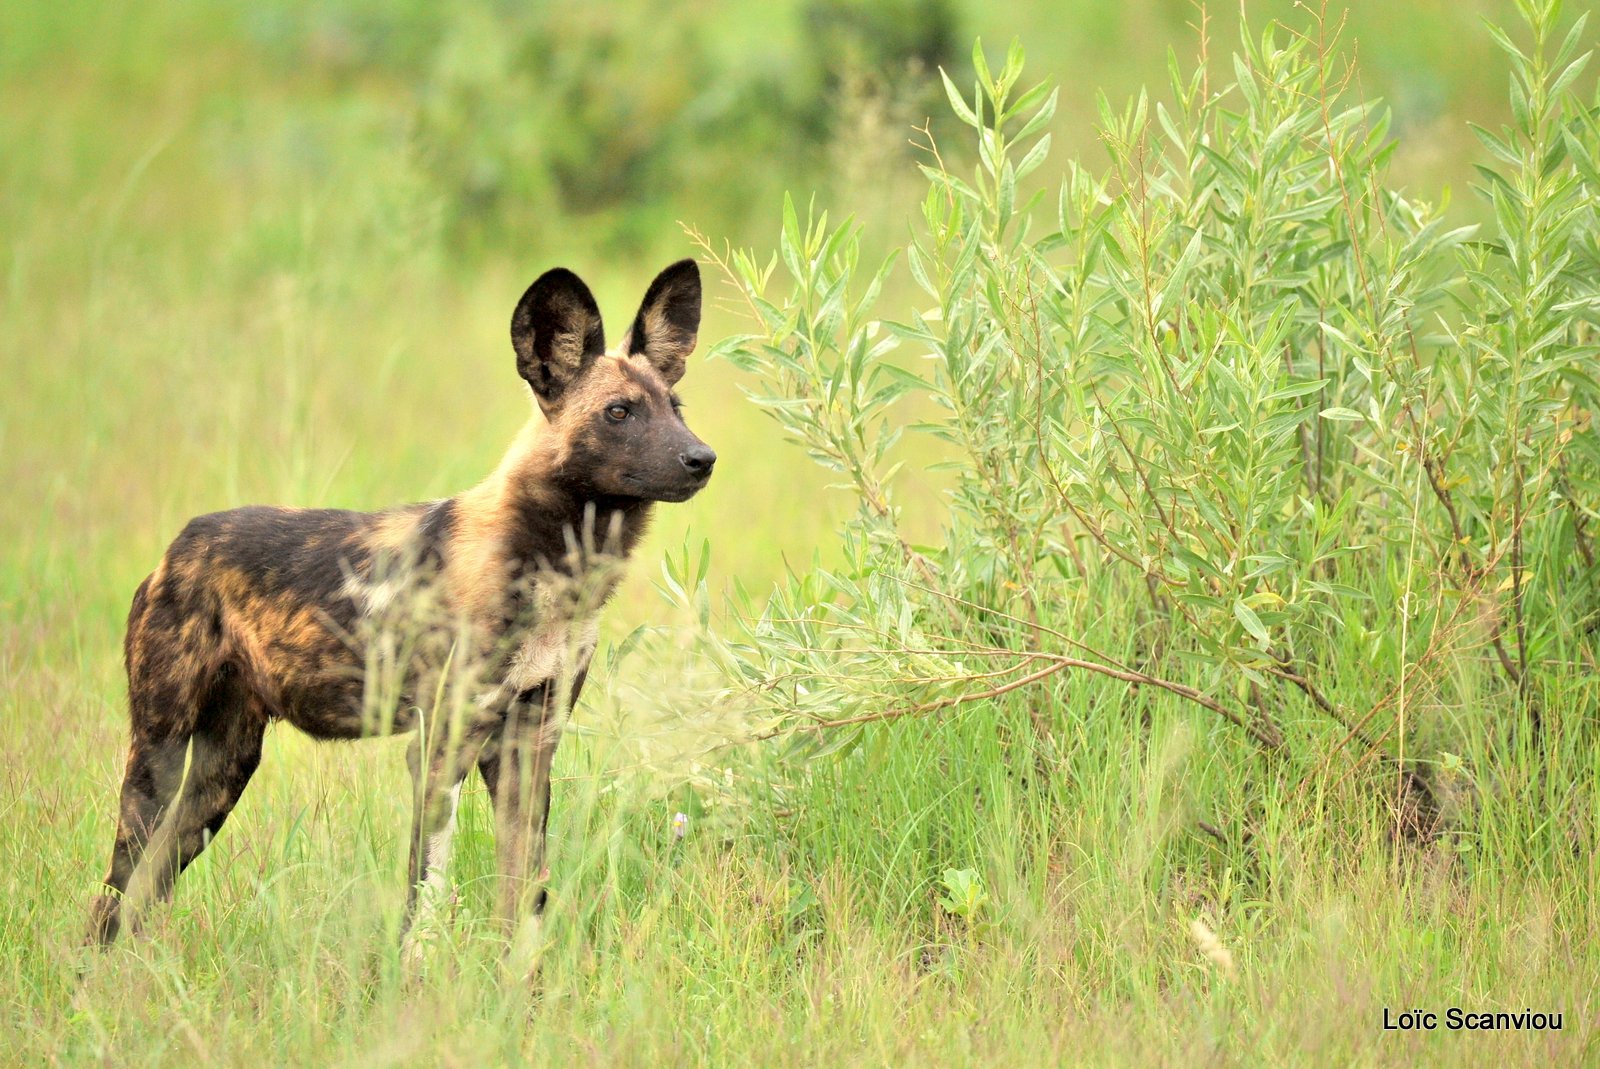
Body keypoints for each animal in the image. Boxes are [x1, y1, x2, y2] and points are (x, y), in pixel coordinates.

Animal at [87, 256, 713, 953]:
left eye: (676, 407)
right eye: (618, 412)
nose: (702, 458)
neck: (553, 566)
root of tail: (177, 547)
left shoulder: (528, 746)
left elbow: (525, 894)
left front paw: (521, 979)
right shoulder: (442, 746)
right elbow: (426, 900)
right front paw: (417, 974)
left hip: (222, 775)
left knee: (145, 886)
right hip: (159, 757)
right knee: (117, 884)